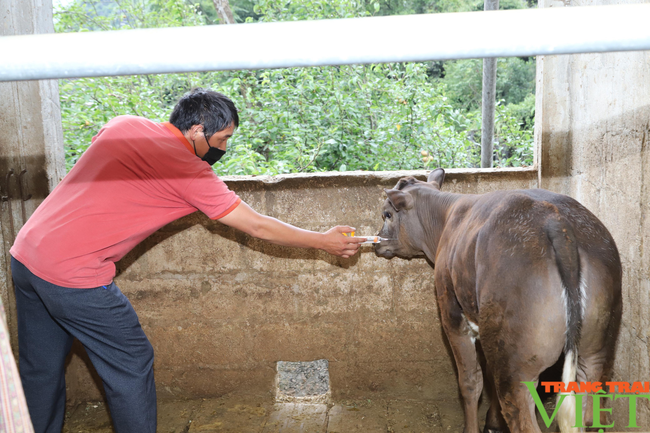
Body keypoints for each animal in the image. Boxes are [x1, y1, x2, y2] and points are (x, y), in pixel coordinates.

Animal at [374, 168, 624, 432]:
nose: (377, 240)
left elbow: (471, 381)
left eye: (387, 214)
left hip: (516, 364)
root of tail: (555, 220)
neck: (446, 218)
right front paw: (492, 422)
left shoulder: (453, 315)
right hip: (598, 351)